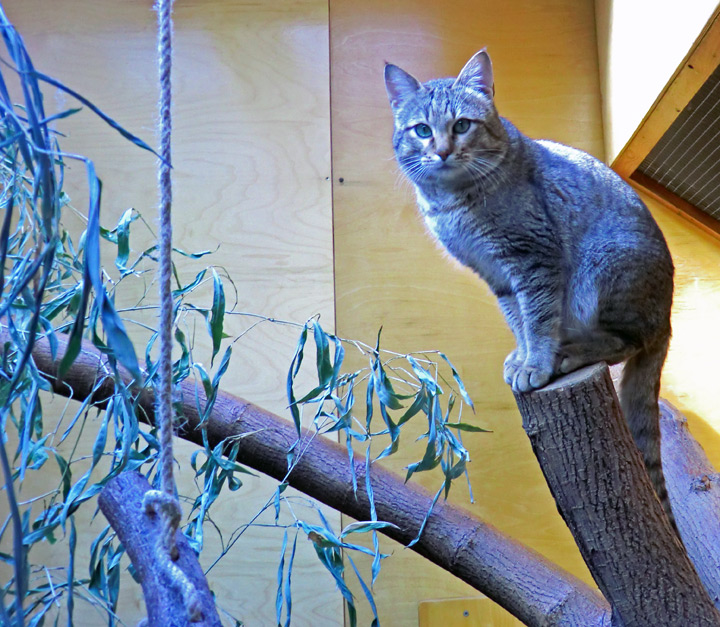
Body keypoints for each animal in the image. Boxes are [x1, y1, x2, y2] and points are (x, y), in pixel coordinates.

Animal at [386, 50, 676, 528]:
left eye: (462, 125)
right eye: (422, 129)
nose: (442, 150)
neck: (453, 203)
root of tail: (667, 318)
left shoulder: (533, 258)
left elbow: (538, 319)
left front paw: (536, 363)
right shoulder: (500, 278)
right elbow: (520, 322)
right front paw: (523, 357)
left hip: (605, 267)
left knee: (625, 343)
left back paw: (573, 351)